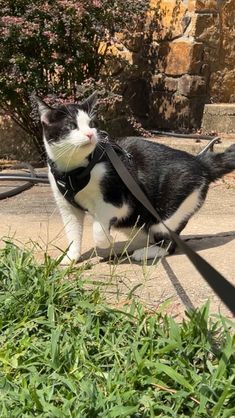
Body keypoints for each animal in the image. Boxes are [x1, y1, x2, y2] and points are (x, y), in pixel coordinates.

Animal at [34, 94, 235, 262]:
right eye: (71, 126)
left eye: (91, 124)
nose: (90, 134)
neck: (74, 169)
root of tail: (201, 162)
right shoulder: (67, 206)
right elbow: (72, 231)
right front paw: (71, 257)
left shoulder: (119, 202)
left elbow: (99, 228)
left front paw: (106, 240)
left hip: (172, 207)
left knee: (169, 242)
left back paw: (146, 252)